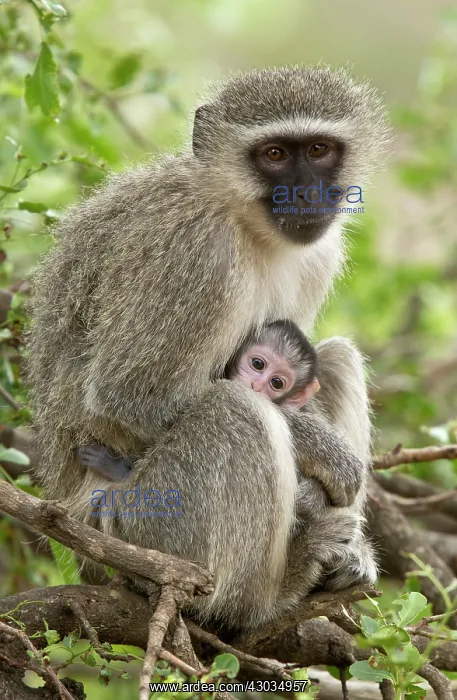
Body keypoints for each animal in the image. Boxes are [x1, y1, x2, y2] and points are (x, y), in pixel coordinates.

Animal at [28, 66, 391, 629]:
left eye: (319, 149)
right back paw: (268, 596)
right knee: (231, 409)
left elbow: (306, 362)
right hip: (142, 525)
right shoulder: (197, 253)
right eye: (274, 155)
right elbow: (131, 396)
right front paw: (327, 462)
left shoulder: (318, 254)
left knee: (335, 358)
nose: (305, 193)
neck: (245, 222)